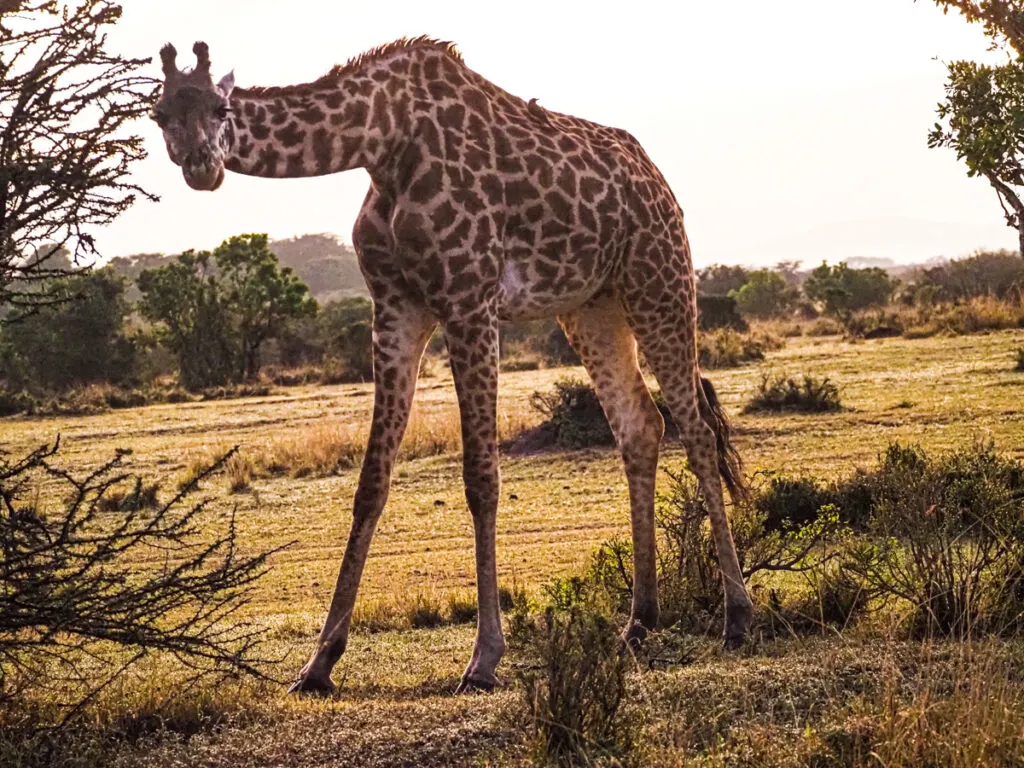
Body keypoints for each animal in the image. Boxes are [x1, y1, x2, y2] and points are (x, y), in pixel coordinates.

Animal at [155, 37, 757, 696]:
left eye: (219, 107)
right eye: (160, 116)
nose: (201, 166)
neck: (384, 142)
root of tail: (657, 178)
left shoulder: (470, 300)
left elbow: (481, 478)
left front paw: (483, 658)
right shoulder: (395, 306)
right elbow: (371, 480)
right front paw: (319, 663)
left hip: (659, 281)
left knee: (697, 430)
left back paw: (737, 617)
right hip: (591, 307)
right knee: (640, 425)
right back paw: (639, 623)